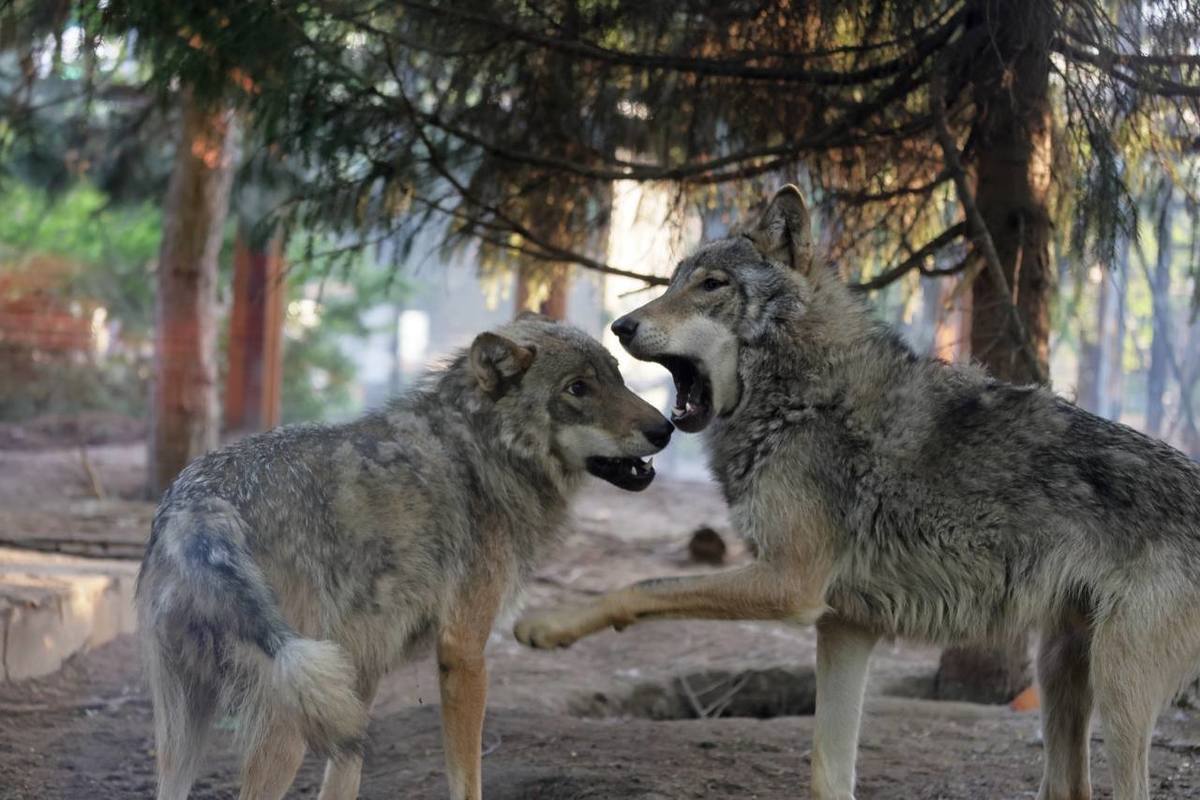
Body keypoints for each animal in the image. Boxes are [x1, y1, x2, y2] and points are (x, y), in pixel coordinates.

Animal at [138, 314, 676, 800]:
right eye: (578, 388)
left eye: (618, 376)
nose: (666, 429)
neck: (482, 452)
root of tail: (199, 502)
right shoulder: (463, 652)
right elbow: (466, 782)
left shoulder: (361, 676)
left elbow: (343, 782)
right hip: (285, 727)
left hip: (188, 731)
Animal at [513, 185, 1200, 800]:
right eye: (673, 282)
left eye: (711, 285)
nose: (621, 325)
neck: (802, 396)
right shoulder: (845, 625)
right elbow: (827, 772)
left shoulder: (790, 584)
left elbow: (642, 587)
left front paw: (549, 625)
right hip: (1059, 667)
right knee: (1069, 784)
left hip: (1117, 689)